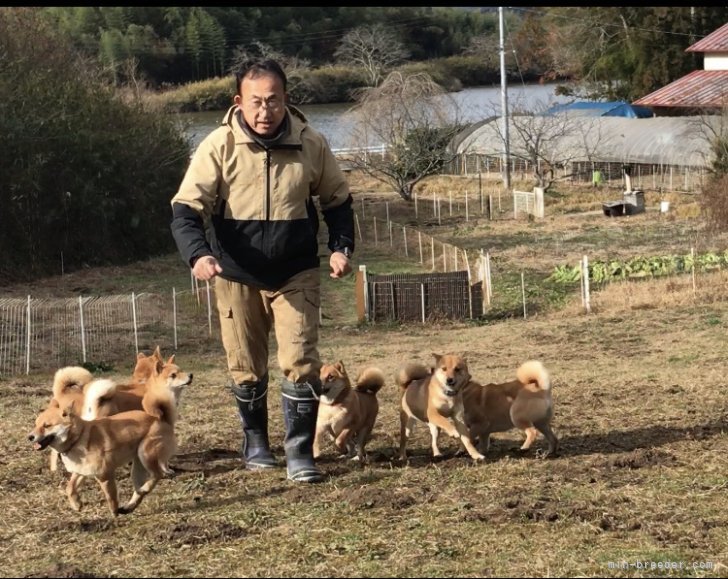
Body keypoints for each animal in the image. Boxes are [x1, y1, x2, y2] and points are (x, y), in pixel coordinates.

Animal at [30, 362, 181, 516]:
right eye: (35, 424)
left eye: (47, 426)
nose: (30, 437)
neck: (78, 438)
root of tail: (162, 419)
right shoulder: (81, 472)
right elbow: (70, 487)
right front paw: (76, 504)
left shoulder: (105, 475)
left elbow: (111, 496)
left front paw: (114, 513)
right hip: (138, 467)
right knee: (140, 490)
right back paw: (130, 505)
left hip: (146, 454)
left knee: (157, 474)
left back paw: (141, 492)